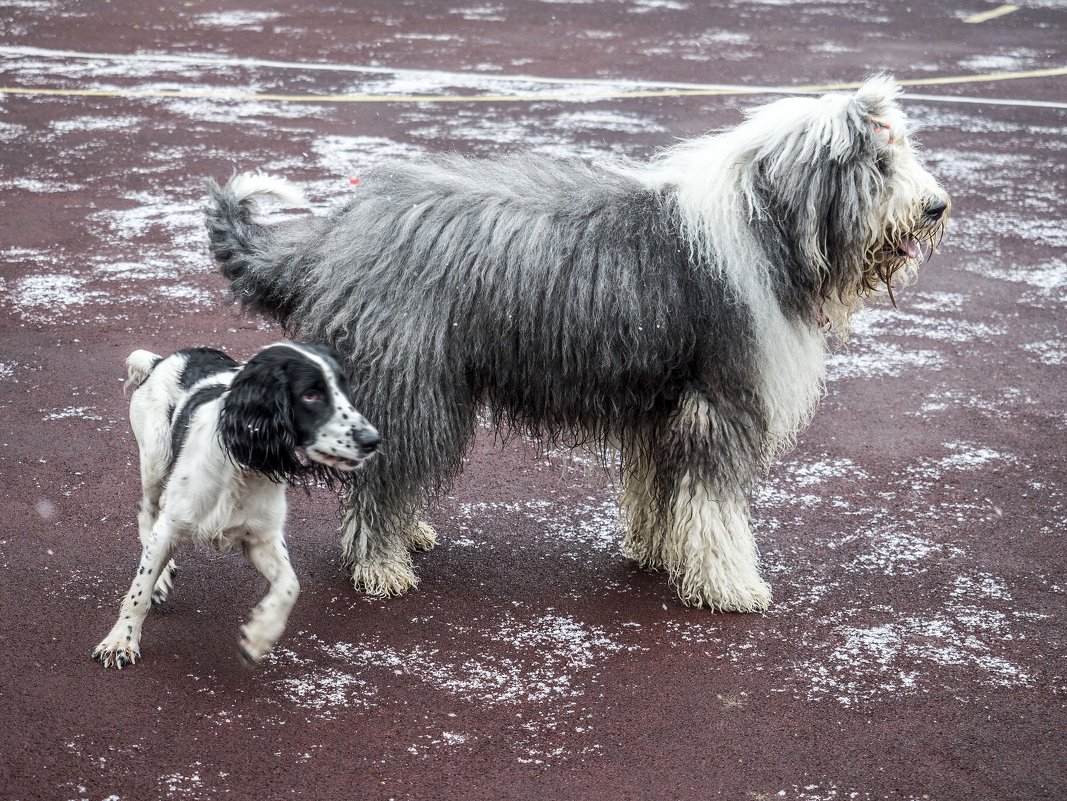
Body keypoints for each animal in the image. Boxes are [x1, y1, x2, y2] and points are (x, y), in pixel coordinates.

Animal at [93, 341, 381, 665]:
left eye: (344, 388)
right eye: (311, 394)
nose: (373, 440)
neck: (243, 467)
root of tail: (161, 360)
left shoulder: (261, 537)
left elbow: (290, 585)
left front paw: (259, 635)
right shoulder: (171, 526)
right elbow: (138, 592)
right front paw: (121, 641)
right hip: (155, 459)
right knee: (148, 511)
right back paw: (162, 577)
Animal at [205, 76, 951, 614]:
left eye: (899, 154)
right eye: (880, 163)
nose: (937, 207)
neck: (765, 225)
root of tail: (339, 230)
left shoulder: (665, 402)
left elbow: (663, 491)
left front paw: (660, 553)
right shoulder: (718, 400)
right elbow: (715, 507)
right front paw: (732, 586)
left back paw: (407, 533)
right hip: (414, 381)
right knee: (383, 476)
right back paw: (382, 566)